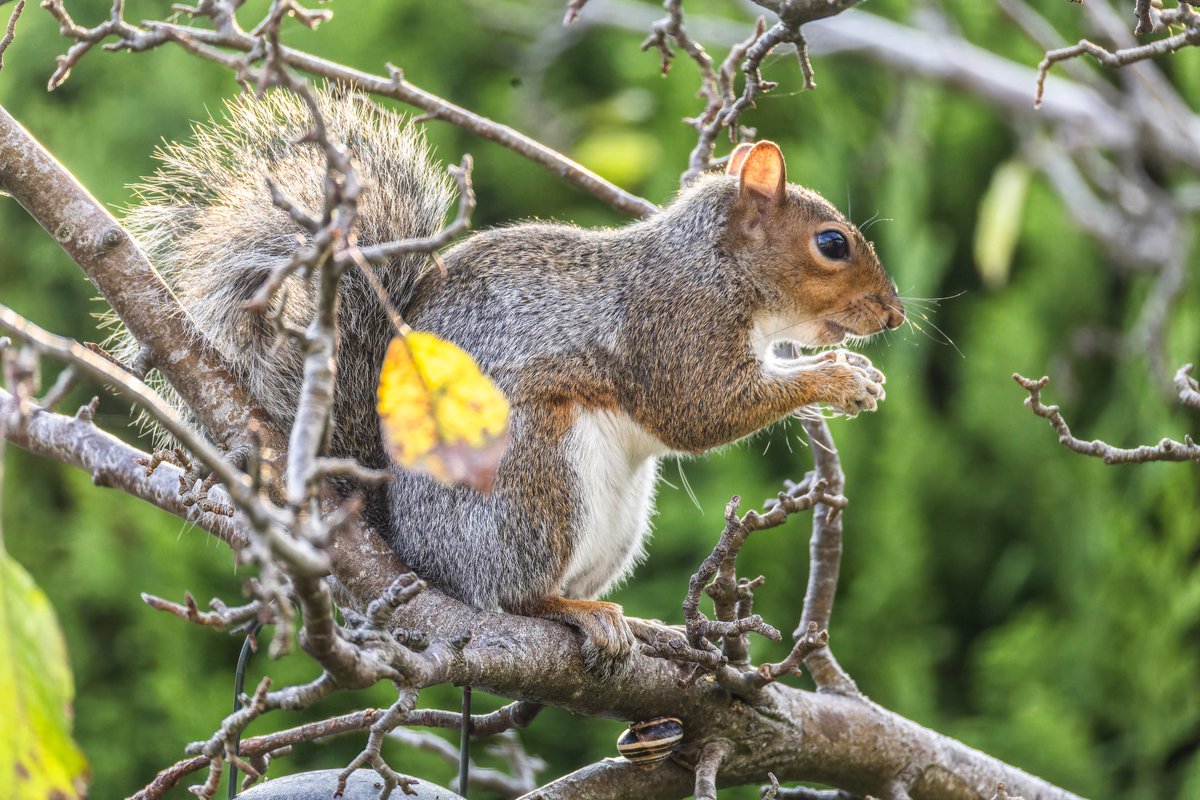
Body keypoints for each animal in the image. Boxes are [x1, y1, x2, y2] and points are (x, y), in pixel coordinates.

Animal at [120, 89, 904, 672]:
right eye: (832, 244)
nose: (894, 313)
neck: (713, 265)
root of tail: (418, 551)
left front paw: (855, 373)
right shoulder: (673, 330)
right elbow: (700, 410)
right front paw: (837, 380)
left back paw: (643, 627)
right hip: (538, 477)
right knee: (518, 598)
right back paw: (580, 613)